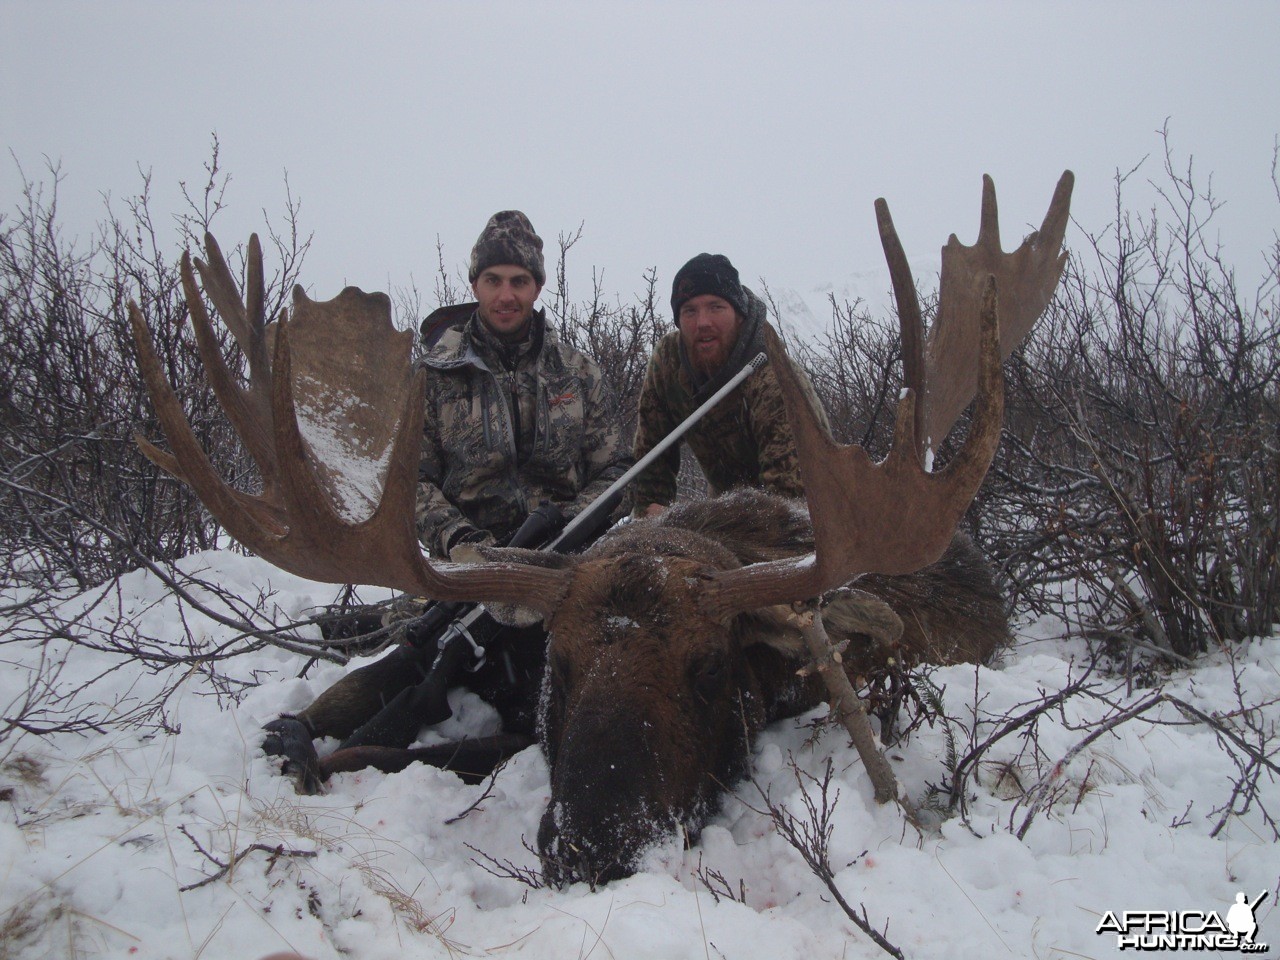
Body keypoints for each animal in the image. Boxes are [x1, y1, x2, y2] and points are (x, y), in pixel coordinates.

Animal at [127, 171, 1070, 885]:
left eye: (707, 665)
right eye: (565, 660)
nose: (592, 846)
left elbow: (411, 750)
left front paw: (323, 756)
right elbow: (356, 703)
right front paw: (300, 734)